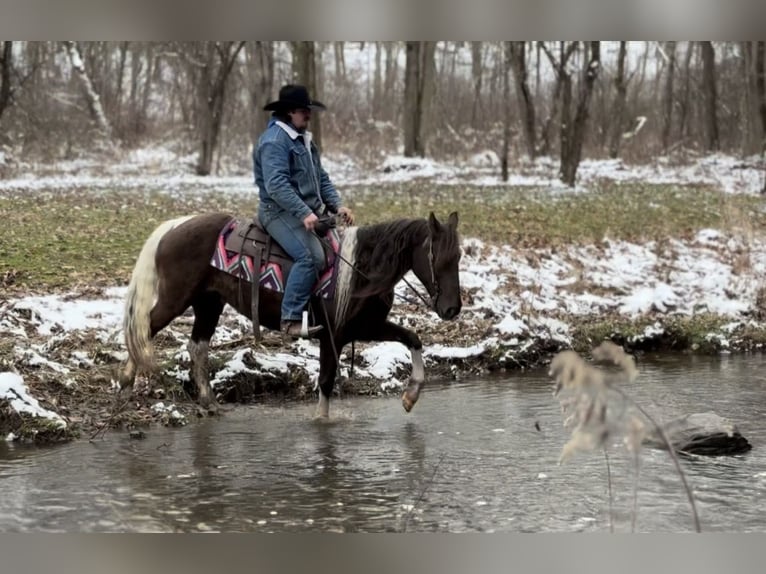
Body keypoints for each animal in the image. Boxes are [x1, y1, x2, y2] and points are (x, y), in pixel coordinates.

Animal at [119, 211, 462, 417]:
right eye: (438, 257)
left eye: (458, 256)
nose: (452, 309)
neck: (360, 269)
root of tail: (175, 226)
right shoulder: (333, 334)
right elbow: (325, 382)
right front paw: (321, 425)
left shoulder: (366, 326)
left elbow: (412, 338)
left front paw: (411, 395)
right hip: (177, 298)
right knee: (143, 329)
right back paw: (125, 383)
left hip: (209, 303)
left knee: (197, 346)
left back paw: (208, 401)